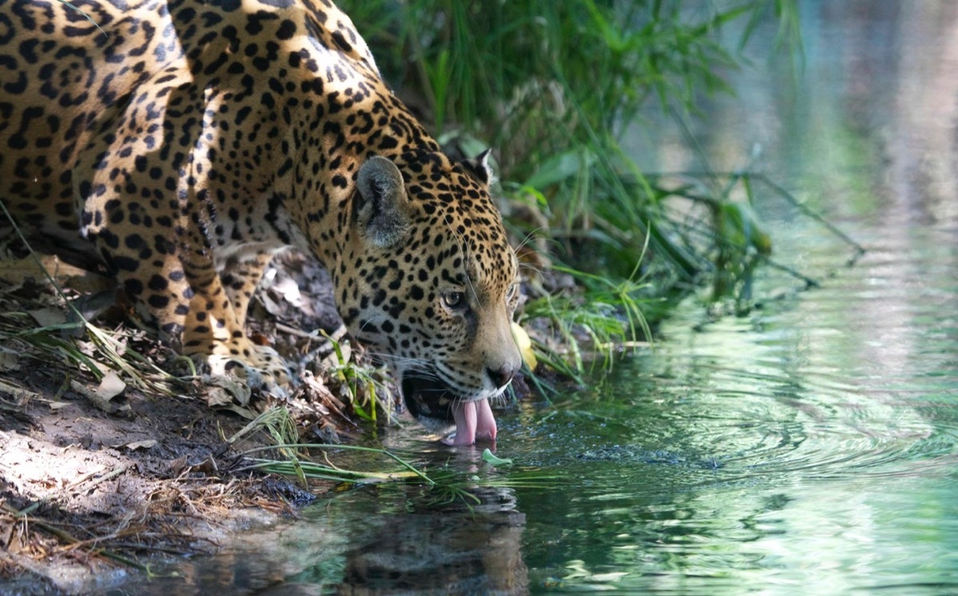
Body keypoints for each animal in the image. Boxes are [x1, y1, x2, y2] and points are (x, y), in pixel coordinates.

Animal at [0, 0, 522, 445]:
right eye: (452, 300)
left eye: (512, 295)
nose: (508, 375)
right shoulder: (122, 192)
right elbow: (192, 287)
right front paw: (235, 351)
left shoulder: (256, 243)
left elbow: (233, 283)